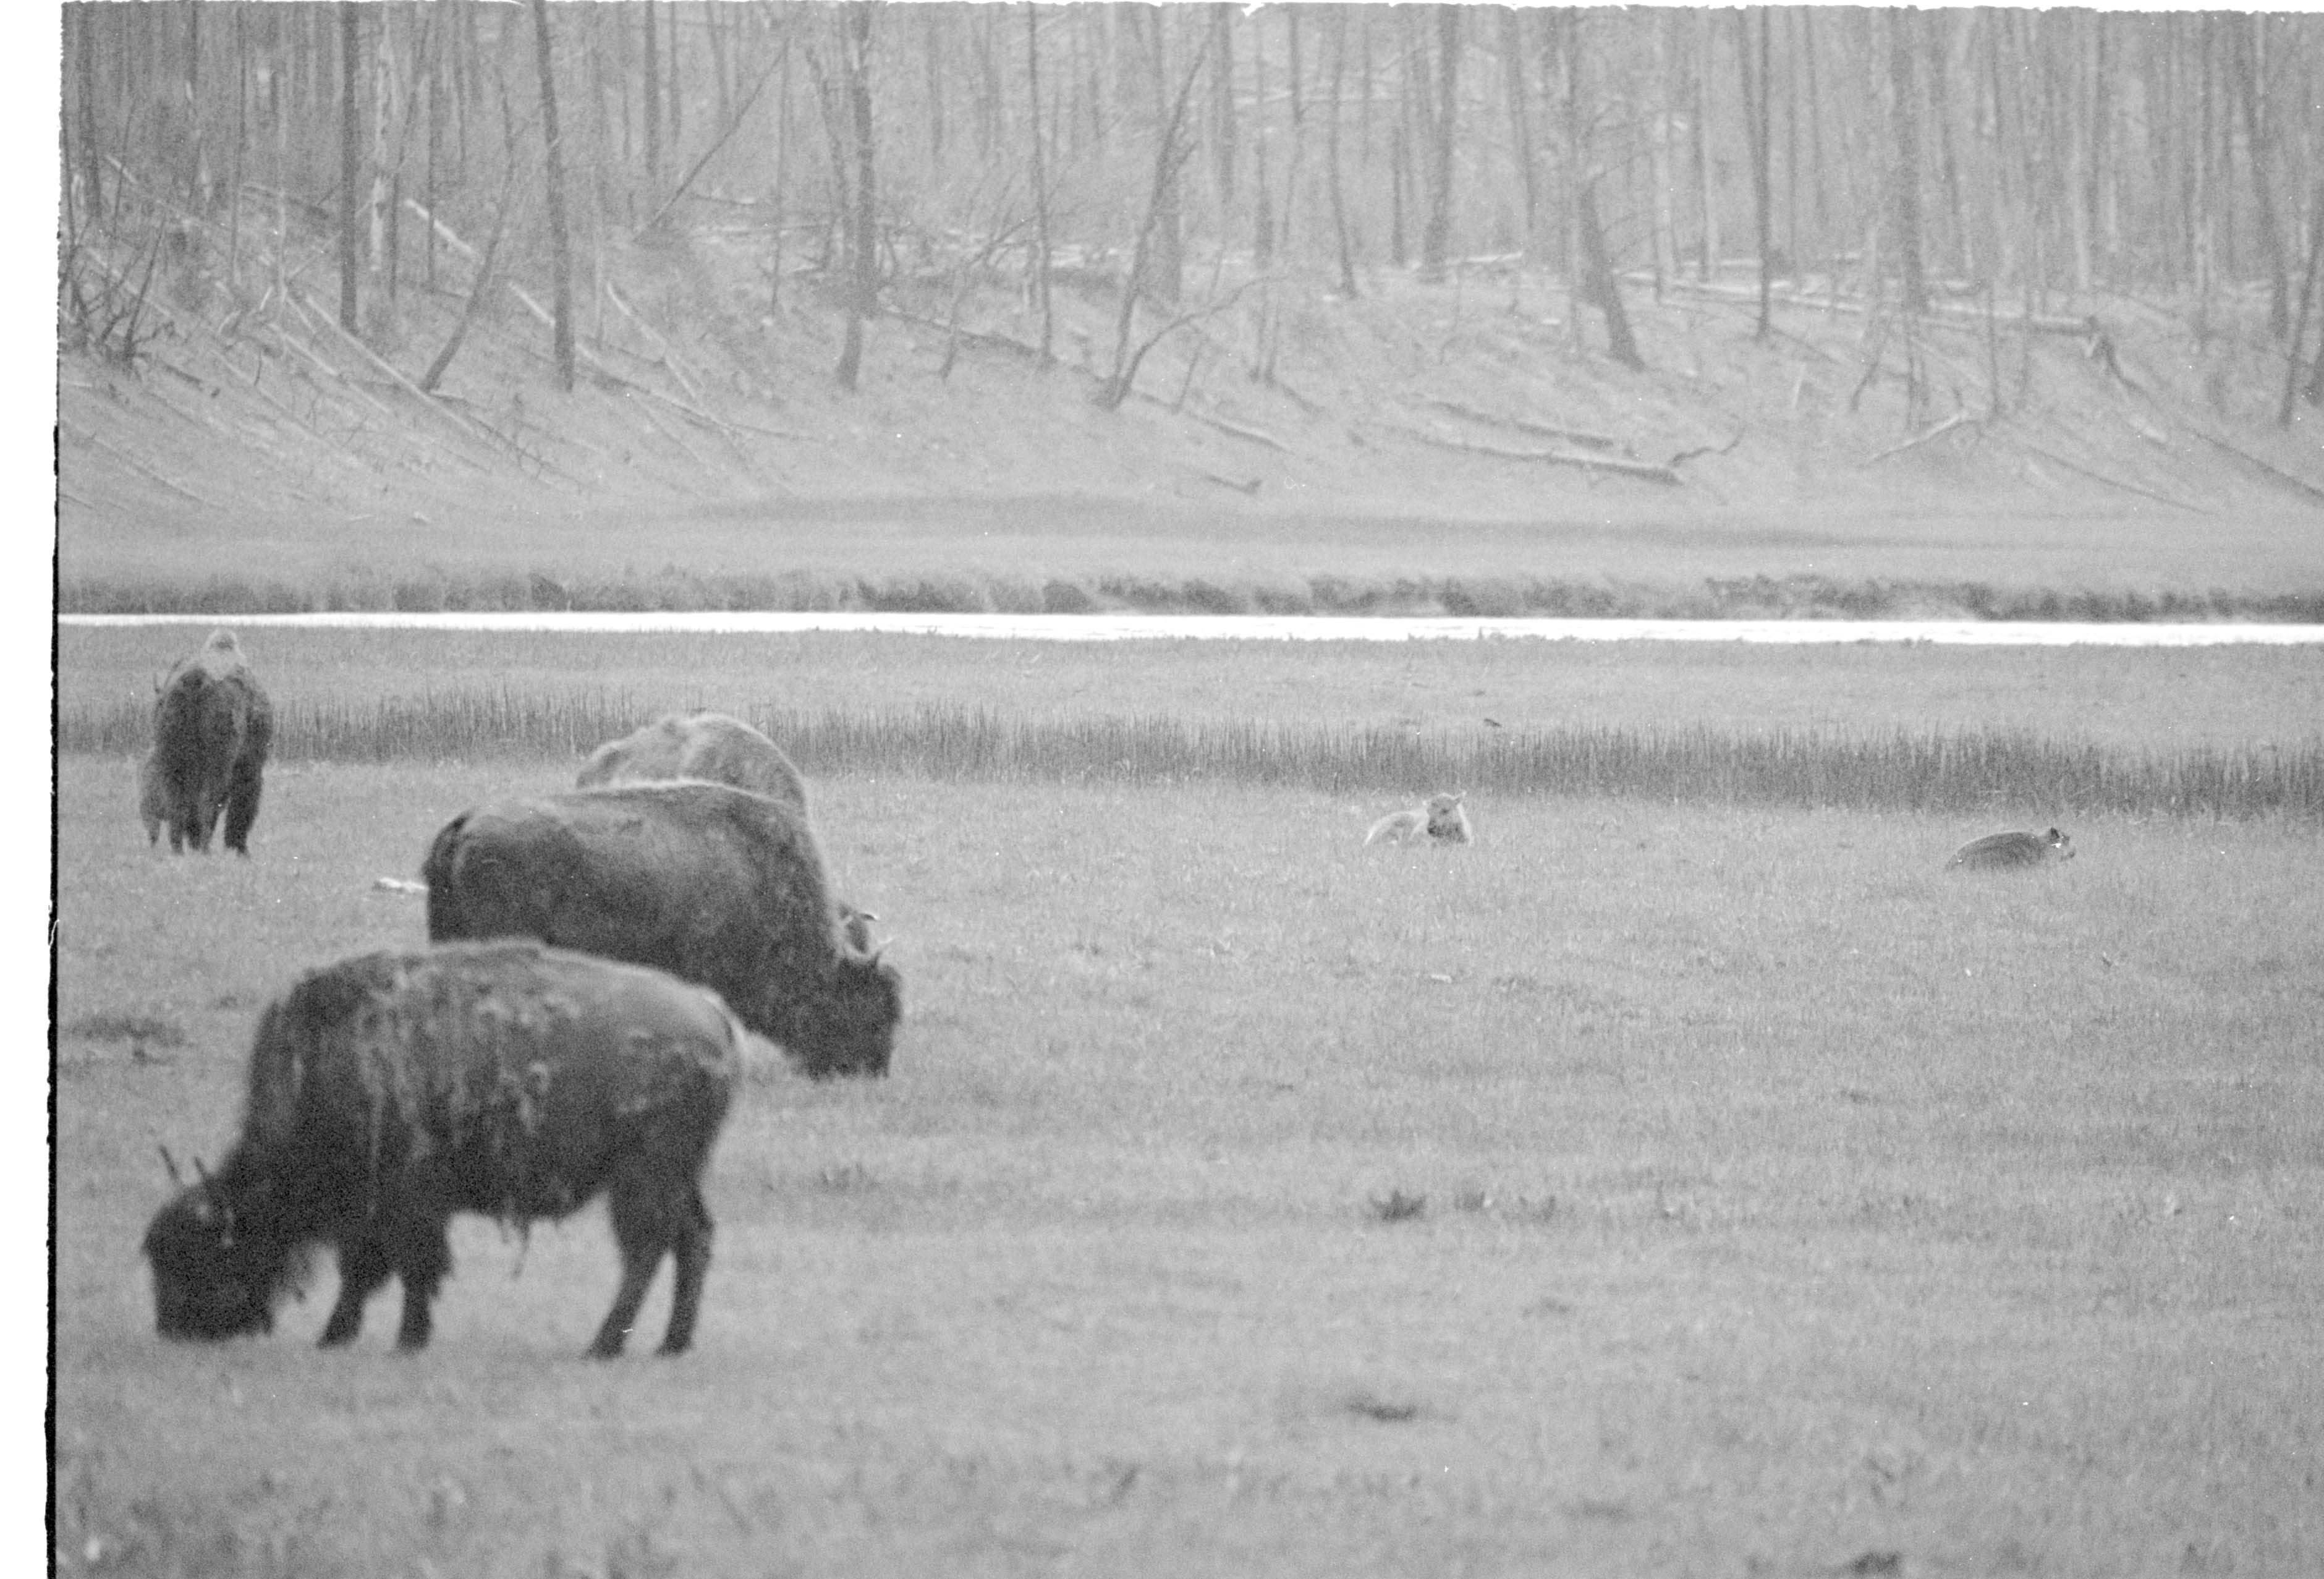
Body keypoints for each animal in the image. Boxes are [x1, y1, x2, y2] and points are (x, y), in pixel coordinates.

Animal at [142, 940, 743, 1358]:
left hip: (643, 1175)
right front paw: (346, 1336)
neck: (321, 1068)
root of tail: (712, 1015)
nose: (174, 1331)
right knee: (693, 1240)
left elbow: (402, 1268)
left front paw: (397, 1338)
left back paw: (603, 1346)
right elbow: (376, 1271)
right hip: (678, 1176)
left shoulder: (402, 1202)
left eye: (203, 1255)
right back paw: (671, 1344)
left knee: (646, 1251)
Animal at [145, 629, 273, 854]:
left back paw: (180, 849)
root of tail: (194, 681)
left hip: (170, 763)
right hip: (216, 766)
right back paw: (204, 848)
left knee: (178, 806)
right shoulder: (250, 767)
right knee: (207, 803)